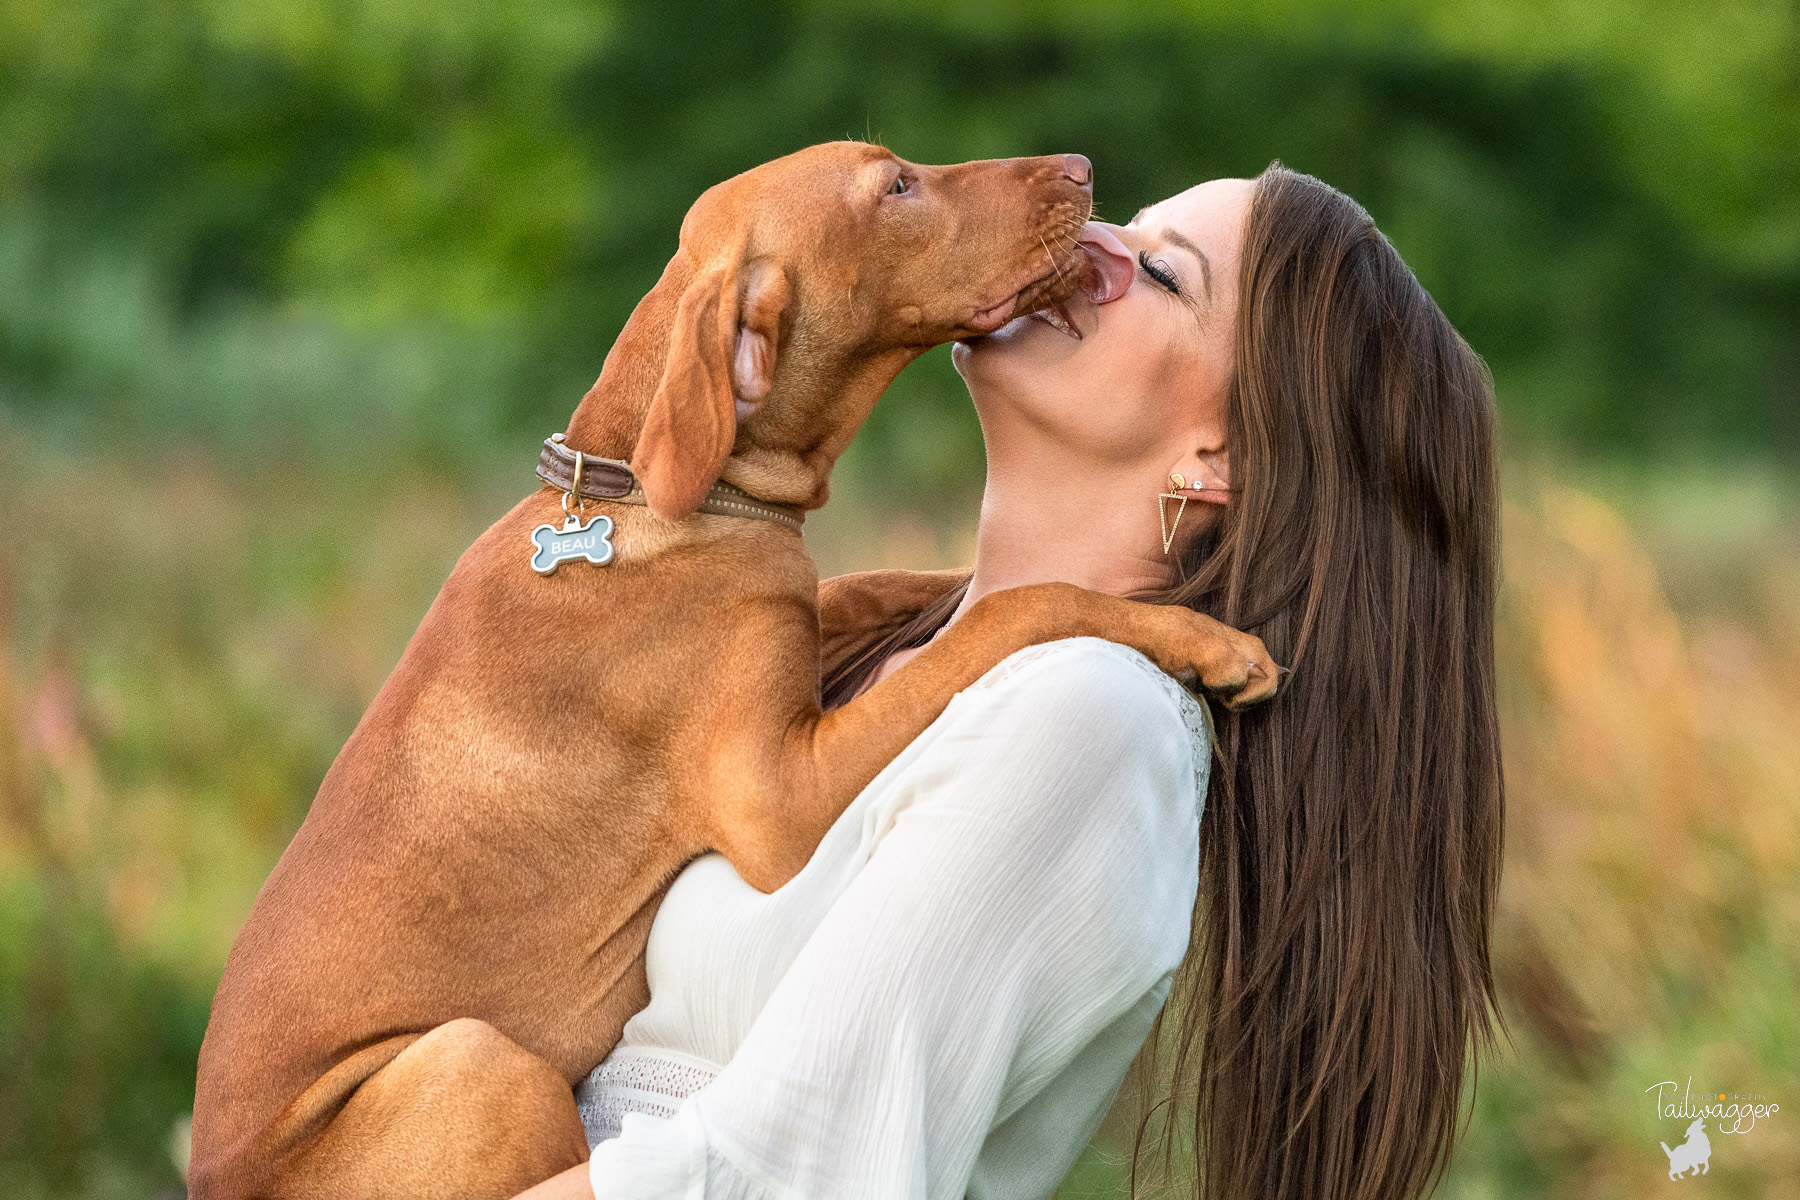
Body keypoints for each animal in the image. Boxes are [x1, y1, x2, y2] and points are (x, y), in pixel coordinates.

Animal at [189, 143, 1281, 1200]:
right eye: (895, 186)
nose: (1080, 170)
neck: (643, 491)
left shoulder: (791, 616)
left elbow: (894, 584)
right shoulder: (781, 804)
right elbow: (1012, 606)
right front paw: (1209, 637)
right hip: (477, 1063)